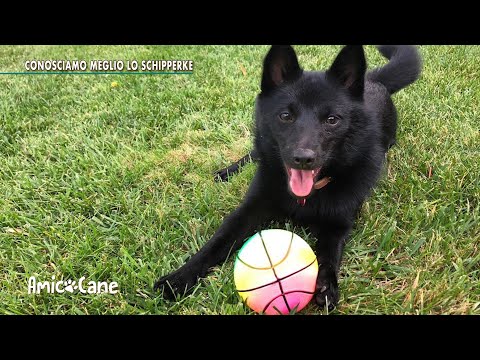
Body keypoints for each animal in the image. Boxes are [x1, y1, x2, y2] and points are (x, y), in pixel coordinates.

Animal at [156, 44, 422, 310]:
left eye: (332, 120)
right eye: (285, 116)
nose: (303, 158)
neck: (305, 197)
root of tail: (373, 80)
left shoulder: (339, 224)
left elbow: (329, 254)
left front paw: (326, 285)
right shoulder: (249, 209)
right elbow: (217, 242)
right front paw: (179, 278)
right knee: (255, 152)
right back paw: (228, 171)